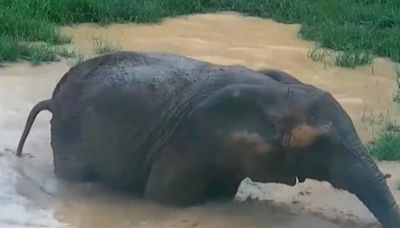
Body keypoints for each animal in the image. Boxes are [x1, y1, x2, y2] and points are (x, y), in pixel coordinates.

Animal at [17, 50, 400, 227]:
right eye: (320, 145)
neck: (277, 95)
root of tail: (52, 98)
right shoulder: (188, 144)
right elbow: (164, 197)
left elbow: (222, 193)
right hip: (70, 134)